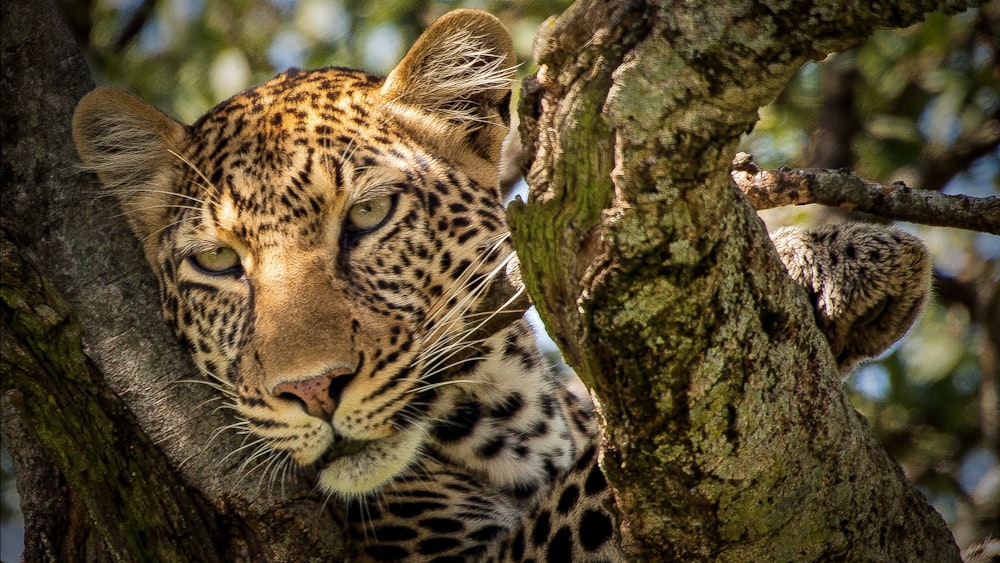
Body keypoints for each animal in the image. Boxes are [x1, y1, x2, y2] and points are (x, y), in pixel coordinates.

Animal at [72, 8, 936, 563]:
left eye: (370, 215)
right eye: (218, 263)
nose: (312, 388)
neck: (519, 418)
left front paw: (839, 259)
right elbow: (602, 482)